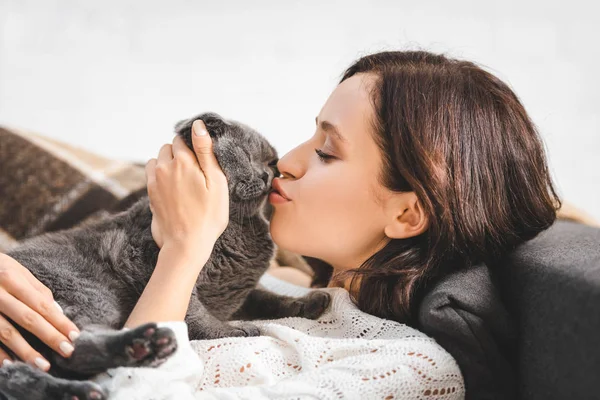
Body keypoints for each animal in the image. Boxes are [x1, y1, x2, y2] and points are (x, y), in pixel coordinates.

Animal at [0, 112, 328, 400]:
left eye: (273, 164)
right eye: (248, 157)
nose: (268, 175)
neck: (236, 227)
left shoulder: (238, 293)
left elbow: (268, 298)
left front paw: (309, 302)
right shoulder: (144, 259)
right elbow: (194, 313)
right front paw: (232, 330)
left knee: (29, 369)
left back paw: (81, 388)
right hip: (83, 293)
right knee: (68, 347)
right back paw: (142, 345)